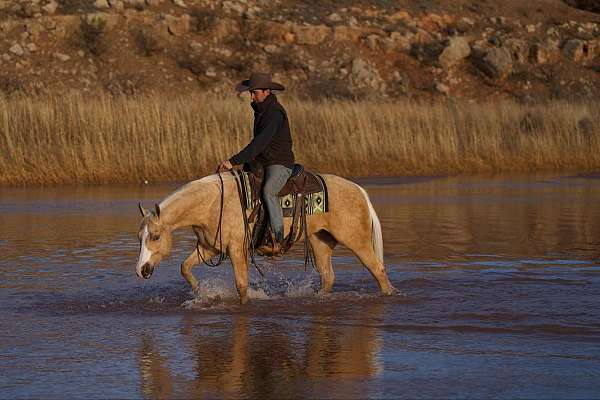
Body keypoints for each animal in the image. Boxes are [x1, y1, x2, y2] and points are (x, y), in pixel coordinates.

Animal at [138, 170, 396, 304]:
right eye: (140, 236)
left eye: (156, 236)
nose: (142, 270)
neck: (212, 202)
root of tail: (360, 191)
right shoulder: (210, 247)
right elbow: (185, 267)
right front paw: (200, 291)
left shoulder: (236, 249)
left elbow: (242, 285)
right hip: (320, 241)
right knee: (328, 277)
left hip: (357, 242)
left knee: (378, 270)